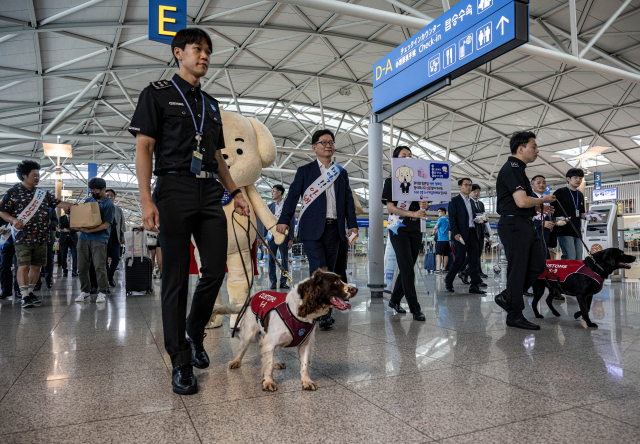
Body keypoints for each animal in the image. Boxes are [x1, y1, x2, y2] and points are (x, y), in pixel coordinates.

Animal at [228, 268, 358, 390]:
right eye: (336, 282)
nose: (356, 289)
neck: (298, 312)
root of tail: (252, 297)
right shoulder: (270, 342)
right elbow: (268, 365)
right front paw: (269, 382)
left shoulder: (305, 343)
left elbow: (304, 365)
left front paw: (306, 381)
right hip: (249, 333)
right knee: (242, 349)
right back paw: (236, 361)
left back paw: (276, 363)